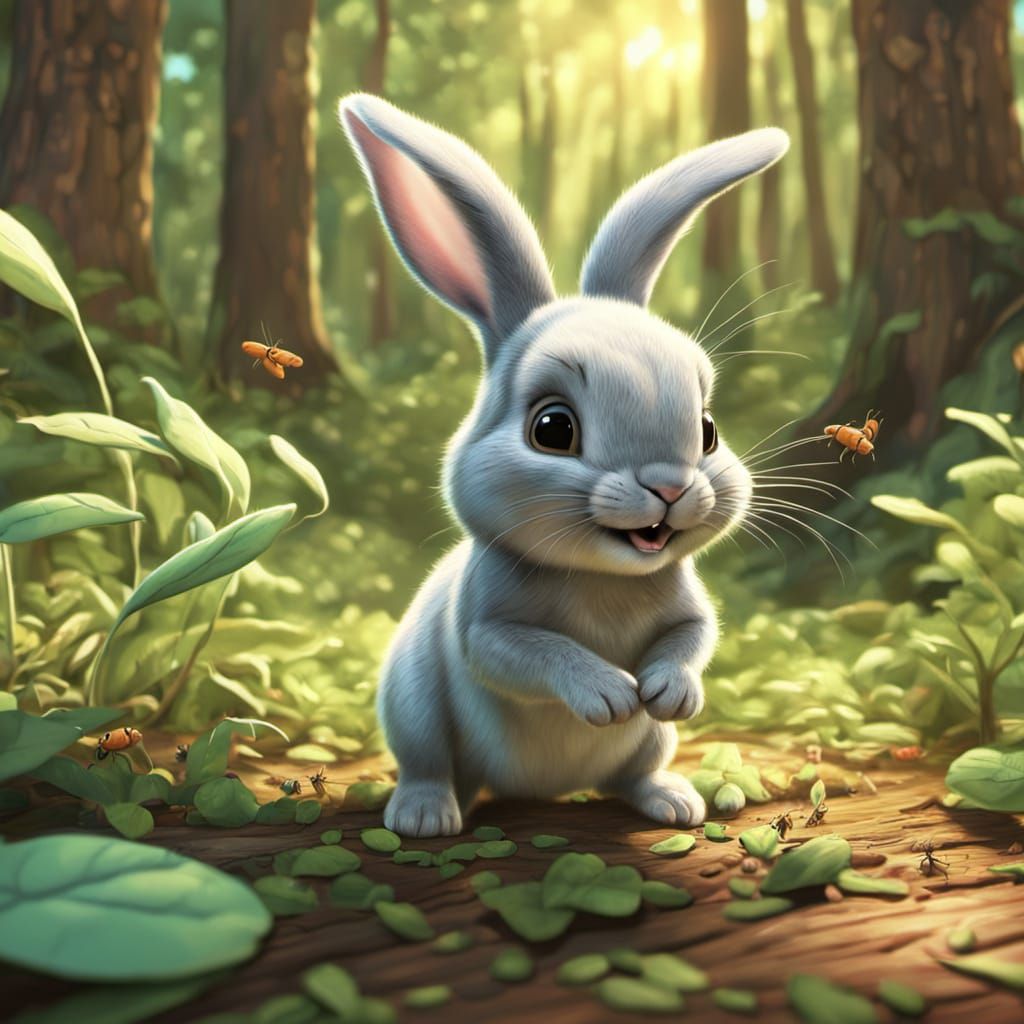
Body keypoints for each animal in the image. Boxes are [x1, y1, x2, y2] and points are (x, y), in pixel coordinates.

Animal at [339, 93, 788, 837]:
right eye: (552, 428)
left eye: (707, 431)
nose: (669, 486)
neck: (602, 578)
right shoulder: (484, 627)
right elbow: (526, 652)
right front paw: (610, 694)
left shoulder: (688, 607)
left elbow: (695, 636)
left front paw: (668, 690)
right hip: (412, 705)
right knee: (428, 764)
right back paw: (425, 815)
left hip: (647, 747)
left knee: (632, 775)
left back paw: (674, 802)